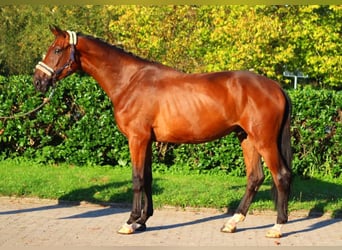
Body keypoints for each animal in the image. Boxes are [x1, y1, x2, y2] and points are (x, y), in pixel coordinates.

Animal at [34, 26, 292, 238]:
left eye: (57, 50)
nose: (38, 81)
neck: (129, 81)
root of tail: (276, 87)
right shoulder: (148, 140)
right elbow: (147, 178)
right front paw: (142, 221)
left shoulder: (137, 139)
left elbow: (136, 179)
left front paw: (129, 222)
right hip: (246, 138)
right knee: (255, 177)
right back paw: (232, 223)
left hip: (264, 141)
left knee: (281, 176)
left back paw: (277, 227)